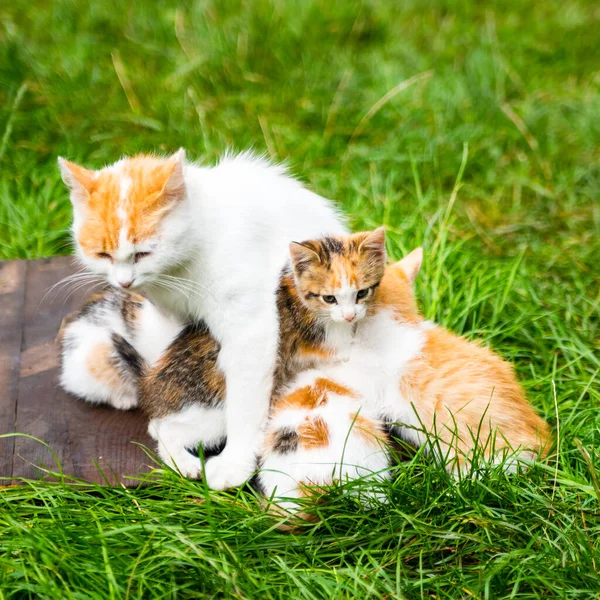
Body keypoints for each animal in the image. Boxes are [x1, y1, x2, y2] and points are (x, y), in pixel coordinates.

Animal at [57, 149, 346, 488]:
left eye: (143, 253)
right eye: (103, 255)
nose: (124, 282)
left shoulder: (251, 330)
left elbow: (245, 400)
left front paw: (236, 463)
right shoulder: (167, 315)